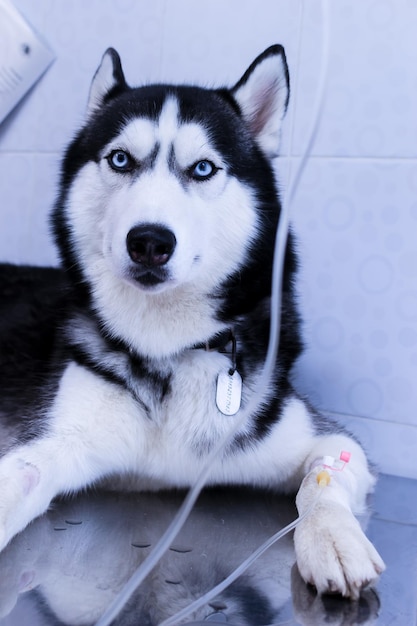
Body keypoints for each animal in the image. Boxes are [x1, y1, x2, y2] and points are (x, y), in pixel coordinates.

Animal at [0, 45, 384, 596]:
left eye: (203, 168)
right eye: (120, 159)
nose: (149, 241)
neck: (166, 348)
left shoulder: (324, 439)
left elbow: (324, 476)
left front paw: (332, 537)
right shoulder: (51, 440)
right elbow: (20, 475)